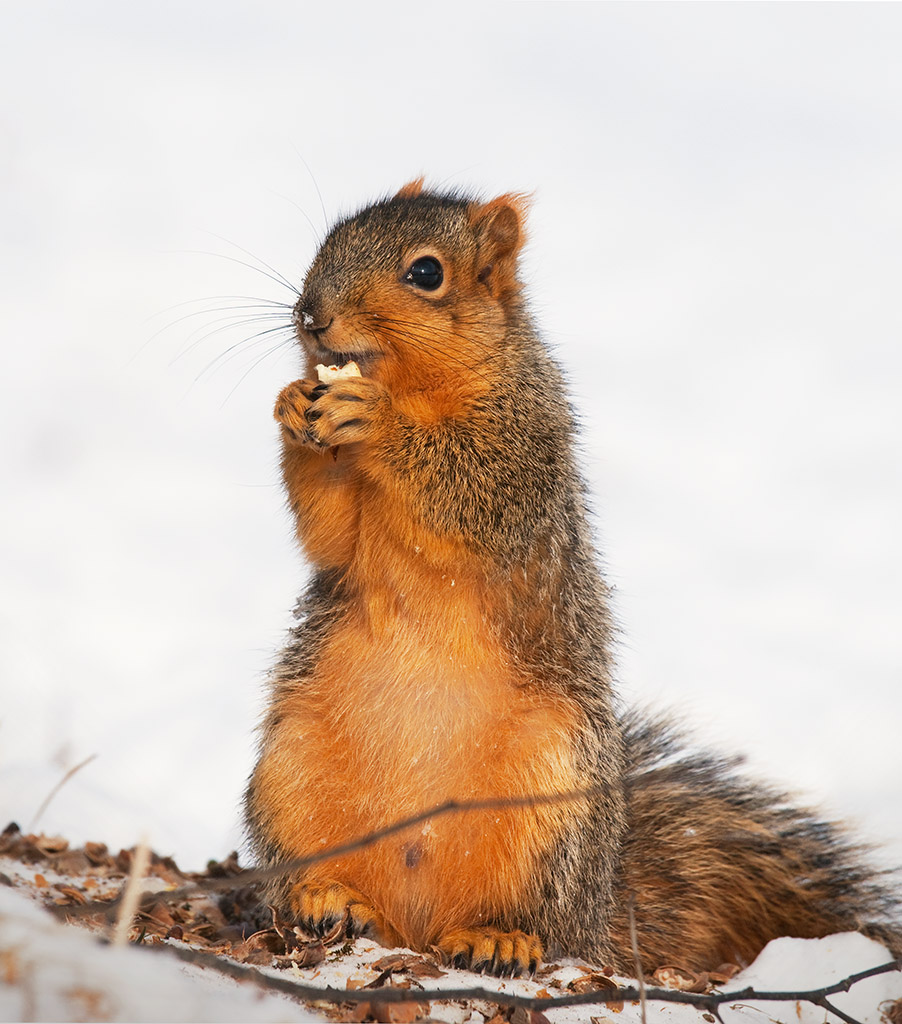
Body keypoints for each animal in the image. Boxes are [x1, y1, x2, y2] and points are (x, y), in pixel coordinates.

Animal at [242, 182, 896, 974]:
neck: (413, 383)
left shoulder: (528, 449)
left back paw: (498, 936)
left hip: (553, 797)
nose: (311, 316)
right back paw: (327, 895)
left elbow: (471, 486)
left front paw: (376, 420)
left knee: (539, 918)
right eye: (330, 240)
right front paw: (290, 405)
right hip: (292, 767)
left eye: (426, 274)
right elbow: (332, 535)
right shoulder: (344, 530)